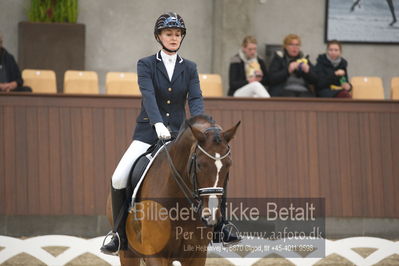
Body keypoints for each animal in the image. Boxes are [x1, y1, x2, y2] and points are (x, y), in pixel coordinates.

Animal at [106, 115, 241, 266]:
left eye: (229, 164)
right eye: (199, 164)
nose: (210, 216)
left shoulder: (198, 254)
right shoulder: (155, 254)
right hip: (128, 253)